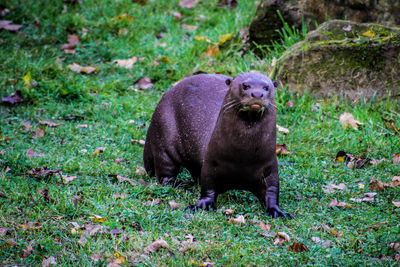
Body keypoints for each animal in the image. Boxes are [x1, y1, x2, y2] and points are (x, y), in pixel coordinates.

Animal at [144, 72, 294, 219]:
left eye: (266, 87)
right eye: (245, 86)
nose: (257, 94)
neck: (243, 156)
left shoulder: (269, 167)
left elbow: (272, 190)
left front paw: (276, 211)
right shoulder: (211, 162)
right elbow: (208, 186)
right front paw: (202, 205)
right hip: (163, 134)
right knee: (165, 171)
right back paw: (179, 185)